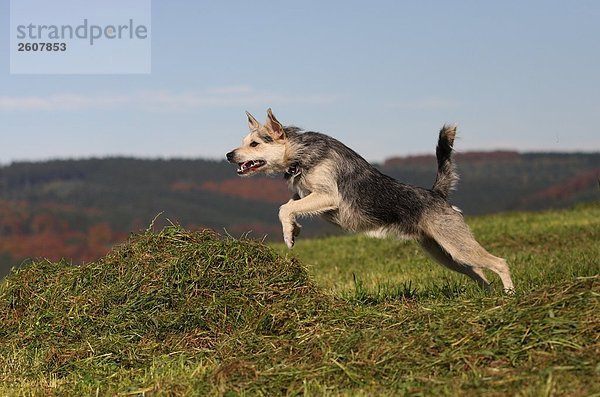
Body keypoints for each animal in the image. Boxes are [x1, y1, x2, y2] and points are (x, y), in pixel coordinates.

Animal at [227, 108, 512, 290]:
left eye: (254, 144)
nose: (229, 155)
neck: (298, 152)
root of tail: (437, 194)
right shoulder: (304, 194)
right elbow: (291, 205)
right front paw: (293, 231)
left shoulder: (327, 196)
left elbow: (284, 208)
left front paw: (288, 235)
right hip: (445, 254)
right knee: (479, 273)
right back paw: (489, 299)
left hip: (456, 246)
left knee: (499, 263)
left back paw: (509, 295)